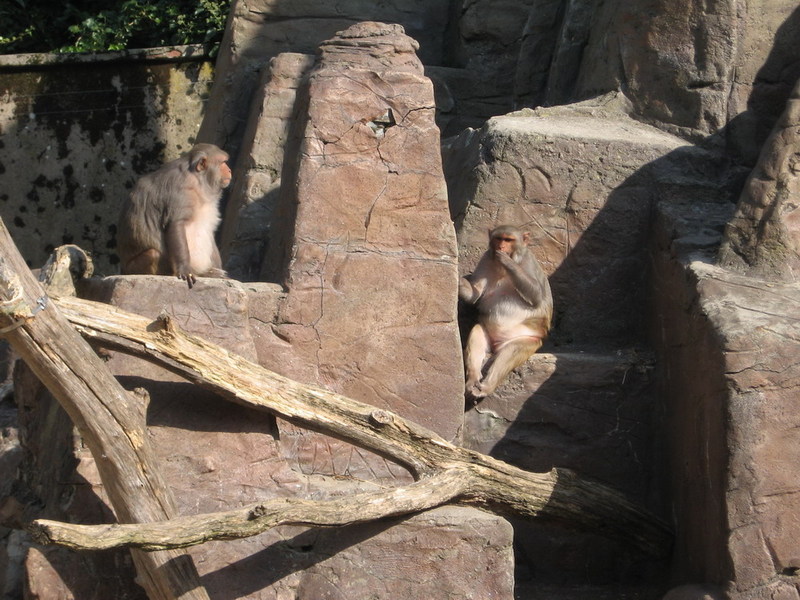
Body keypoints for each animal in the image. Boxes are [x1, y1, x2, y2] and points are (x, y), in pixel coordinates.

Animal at [117, 143, 233, 288]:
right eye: (223, 162)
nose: (229, 170)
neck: (198, 180)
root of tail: (123, 270)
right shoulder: (180, 192)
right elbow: (176, 224)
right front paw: (185, 269)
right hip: (133, 268)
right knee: (153, 253)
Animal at [460, 224, 552, 398]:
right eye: (498, 238)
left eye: (508, 240)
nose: (501, 247)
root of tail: (496, 344)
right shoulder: (485, 259)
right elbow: (475, 294)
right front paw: (459, 281)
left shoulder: (528, 261)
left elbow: (537, 295)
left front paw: (507, 262)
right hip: (488, 333)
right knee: (477, 333)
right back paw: (473, 380)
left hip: (527, 339)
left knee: (510, 351)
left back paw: (487, 386)